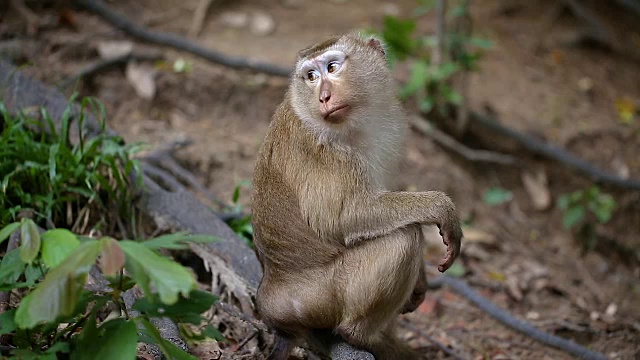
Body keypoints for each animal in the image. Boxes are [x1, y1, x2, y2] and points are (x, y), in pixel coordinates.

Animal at [251, 32, 464, 358]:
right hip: (319, 298)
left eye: (332, 67)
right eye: (311, 77)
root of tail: (271, 295)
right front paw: (442, 207)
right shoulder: (323, 152)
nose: (324, 96)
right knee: (402, 238)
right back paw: (362, 337)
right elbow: (344, 218)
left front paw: (421, 282)